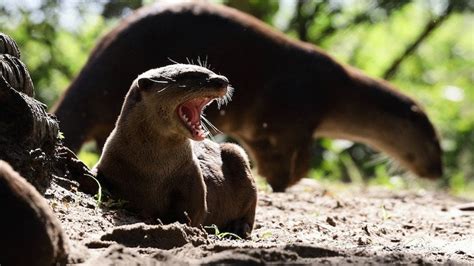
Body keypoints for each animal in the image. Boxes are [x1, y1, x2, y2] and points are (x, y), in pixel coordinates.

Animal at [53, 0, 442, 191]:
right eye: (434, 141)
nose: (439, 170)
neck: (334, 92)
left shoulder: (262, 131)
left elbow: (269, 156)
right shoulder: (294, 115)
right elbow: (294, 159)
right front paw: (286, 184)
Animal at [95, 64, 258, 237]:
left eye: (209, 71)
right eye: (190, 75)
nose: (223, 80)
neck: (153, 170)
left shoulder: (192, 175)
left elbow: (195, 212)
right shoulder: (108, 163)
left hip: (235, 151)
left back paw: (239, 227)